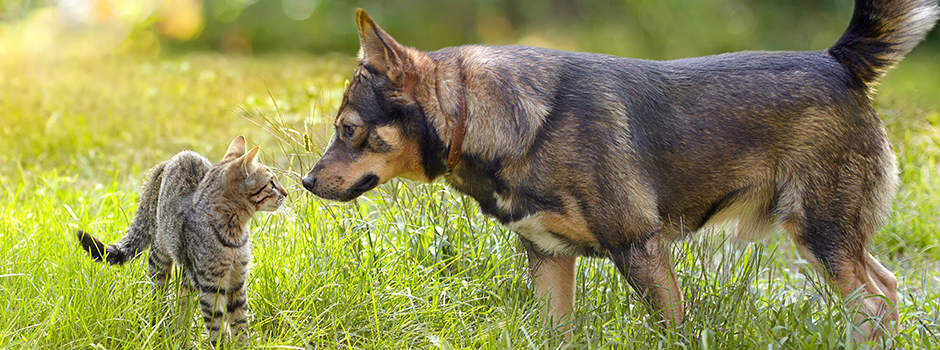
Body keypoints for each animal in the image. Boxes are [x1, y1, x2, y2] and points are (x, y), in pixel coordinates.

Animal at [76, 136, 286, 344]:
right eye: (271, 183)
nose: (285, 193)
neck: (235, 234)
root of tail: (168, 161)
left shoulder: (237, 283)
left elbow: (240, 326)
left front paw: (242, 344)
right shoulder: (210, 287)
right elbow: (218, 328)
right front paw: (221, 343)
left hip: (187, 274)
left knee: (183, 303)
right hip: (160, 259)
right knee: (159, 297)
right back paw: (160, 327)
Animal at [304, 0, 936, 342]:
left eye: (347, 129)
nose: (306, 183)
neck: (493, 120)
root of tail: (838, 62)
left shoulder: (640, 249)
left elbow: (672, 330)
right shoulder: (549, 260)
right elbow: (556, 332)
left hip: (820, 233)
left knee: (874, 304)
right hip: (830, 239)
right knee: (886, 292)